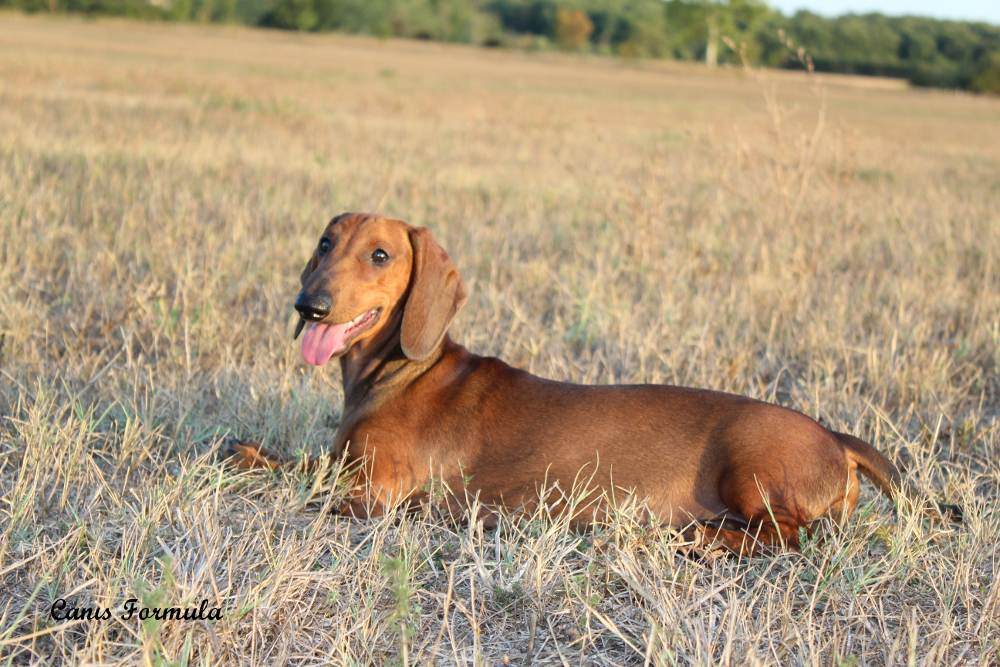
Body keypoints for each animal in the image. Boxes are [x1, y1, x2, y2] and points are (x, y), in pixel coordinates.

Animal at [225, 214, 928, 552]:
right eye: (324, 243)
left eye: (380, 255)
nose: (309, 306)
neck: (398, 371)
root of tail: (836, 437)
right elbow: (279, 457)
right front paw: (243, 449)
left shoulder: (372, 493)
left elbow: (289, 478)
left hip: (752, 467)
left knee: (788, 538)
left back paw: (702, 541)